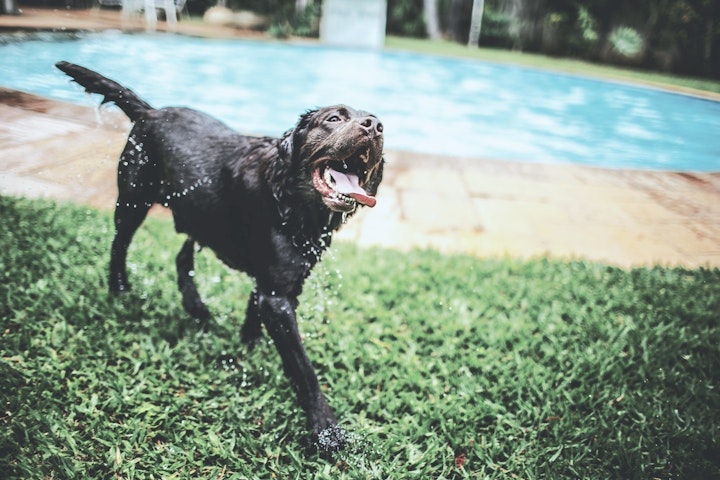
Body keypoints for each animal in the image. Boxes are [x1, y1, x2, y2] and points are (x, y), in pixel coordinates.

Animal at [57, 61, 386, 450]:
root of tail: (150, 112)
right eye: (334, 118)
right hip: (134, 199)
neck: (289, 200)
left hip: (197, 212)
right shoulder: (278, 296)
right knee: (119, 244)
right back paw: (120, 288)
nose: (375, 126)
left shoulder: (281, 284)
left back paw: (196, 306)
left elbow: (254, 308)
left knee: (182, 257)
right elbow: (305, 370)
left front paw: (249, 343)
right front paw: (326, 429)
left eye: (378, 123)